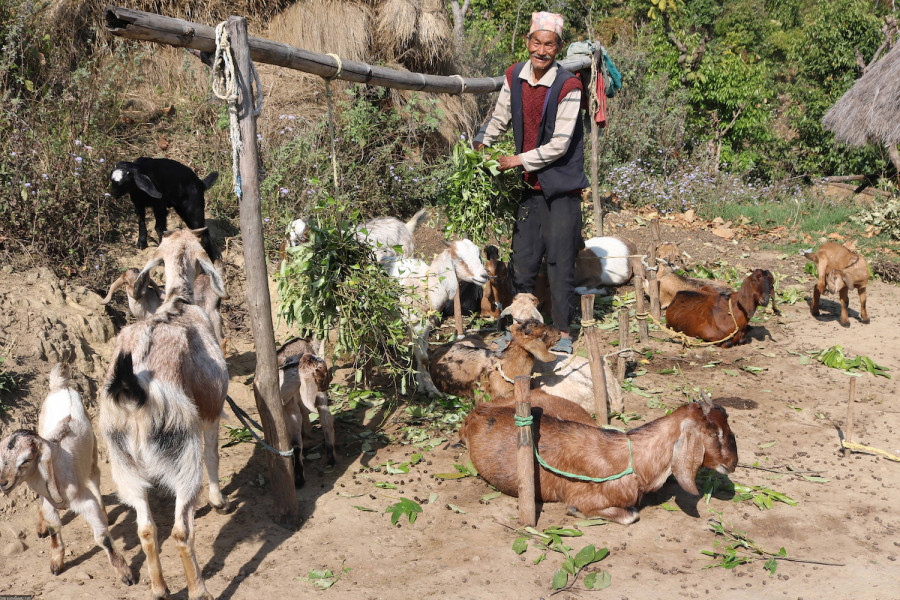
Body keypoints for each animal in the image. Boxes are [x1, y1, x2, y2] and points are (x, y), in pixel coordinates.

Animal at [0, 364, 133, 584]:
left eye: (26, 460)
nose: (3, 482)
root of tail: (61, 386)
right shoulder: (49, 503)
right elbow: (55, 531)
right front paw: (56, 564)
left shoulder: (84, 501)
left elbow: (102, 537)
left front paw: (124, 573)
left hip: (92, 451)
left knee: (94, 479)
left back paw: (104, 512)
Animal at [99, 226, 229, 600]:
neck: (179, 303)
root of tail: (133, 391)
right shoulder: (212, 409)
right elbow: (213, 455)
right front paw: (218, 501)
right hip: (183, 453)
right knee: (181, 531)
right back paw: (199, 589)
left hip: (123, 464)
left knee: (145, 529)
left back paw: (159, 588)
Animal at [384, 239, 488, 398]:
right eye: (459, 258)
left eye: (478, 254)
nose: (484, 276)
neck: (426, 289)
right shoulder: (416, 327)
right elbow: (424, 358)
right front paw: (433, 390)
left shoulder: (424, 327)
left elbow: (422, 353)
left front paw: (421, 385)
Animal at [458, 396, 740, 524]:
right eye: (713, 433)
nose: (733, 463)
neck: (632, 458)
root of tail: (480, 409)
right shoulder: (585, 498)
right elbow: (630, 516)